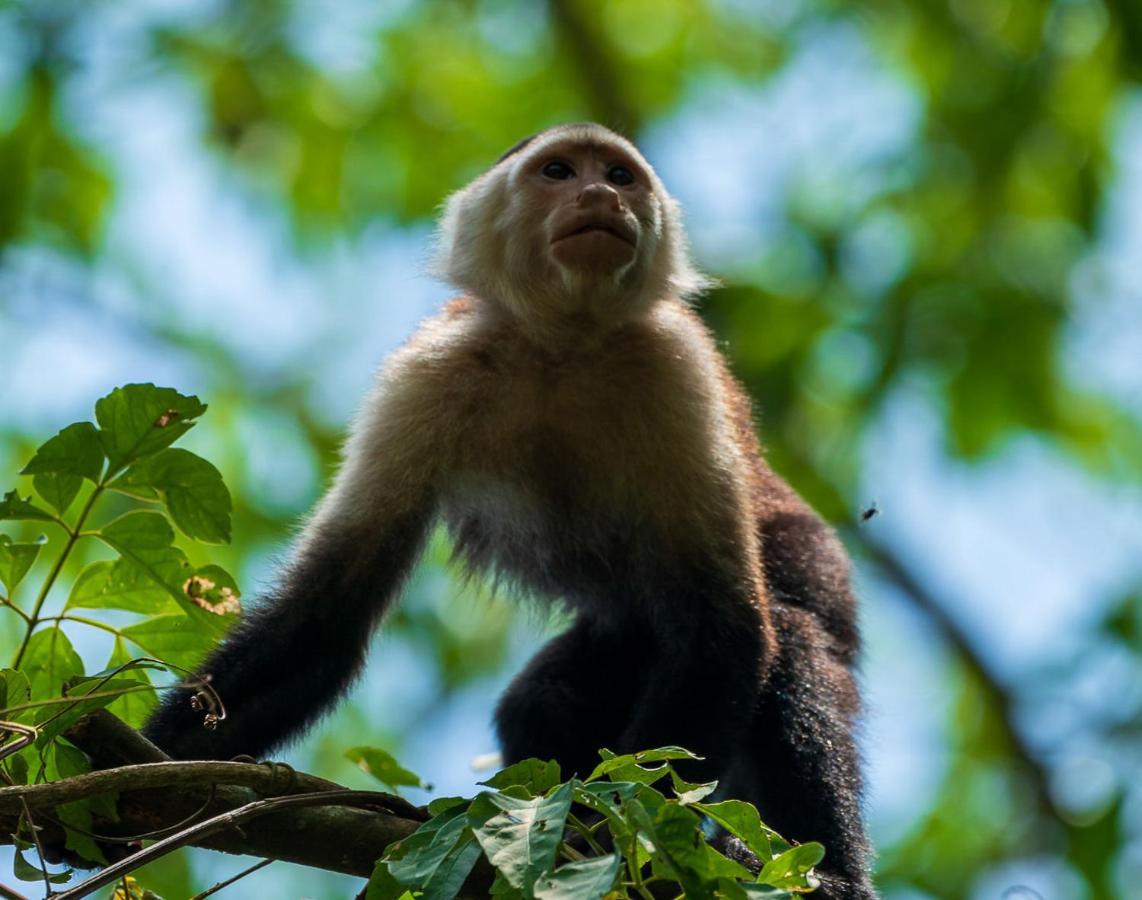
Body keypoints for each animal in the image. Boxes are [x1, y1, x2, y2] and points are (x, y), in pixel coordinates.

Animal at [142, 122, 872, 895]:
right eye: (559, 172)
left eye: (620, 175)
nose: (600, 193)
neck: (563, 348)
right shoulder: (427, 373)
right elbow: (324, 620)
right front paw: (135, 778)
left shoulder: (677, 367)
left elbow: (722, 633)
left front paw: (618, 832)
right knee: (540, 701)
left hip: (811, 556)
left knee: (793, 637)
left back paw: (830, 873)